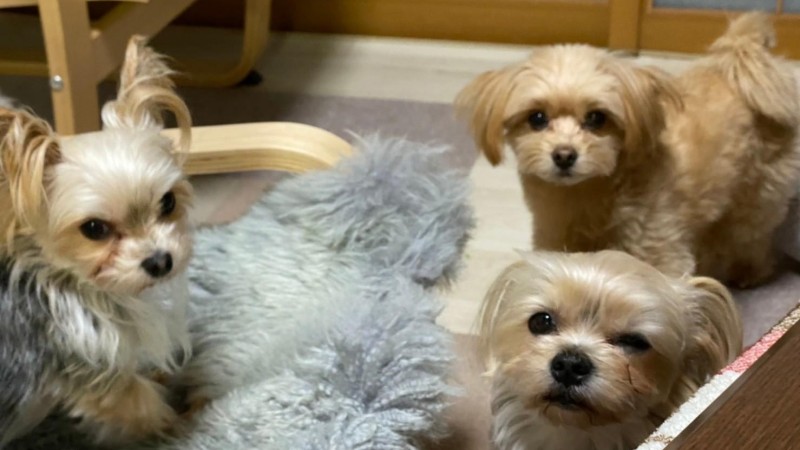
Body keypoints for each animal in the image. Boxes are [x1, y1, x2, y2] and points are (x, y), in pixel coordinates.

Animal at [0, 36, 193, 446]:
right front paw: (183, 424)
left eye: (167, 202)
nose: (160, 261)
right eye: (94, 229)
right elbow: (146, 407)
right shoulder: (95, 374)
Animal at [456, 12, 800, 286]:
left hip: (758, 197)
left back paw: (749, 273)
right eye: (537, 118)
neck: (587, 195)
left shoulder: (659, 248)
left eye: (596, 118)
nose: (564, 156)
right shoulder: (556, 239)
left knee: (750, 237)